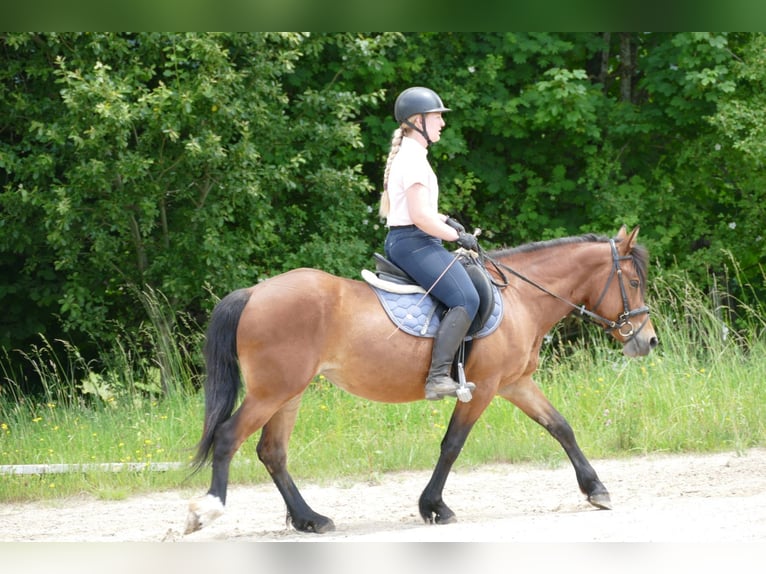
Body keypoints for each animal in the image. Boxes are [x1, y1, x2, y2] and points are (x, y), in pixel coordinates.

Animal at [184, 224, 660, 536]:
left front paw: (596, 489)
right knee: (228, 437)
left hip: (289, 393)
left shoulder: (515, 384)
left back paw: (309, 519)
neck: (521, 298)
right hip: (274, 391)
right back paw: (207, 510)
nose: (648, 340)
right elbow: (452, 444)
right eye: (634, 281)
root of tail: (253, 292)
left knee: (273, 452)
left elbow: (560, 426)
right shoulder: (485, 387)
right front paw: (434, 507)